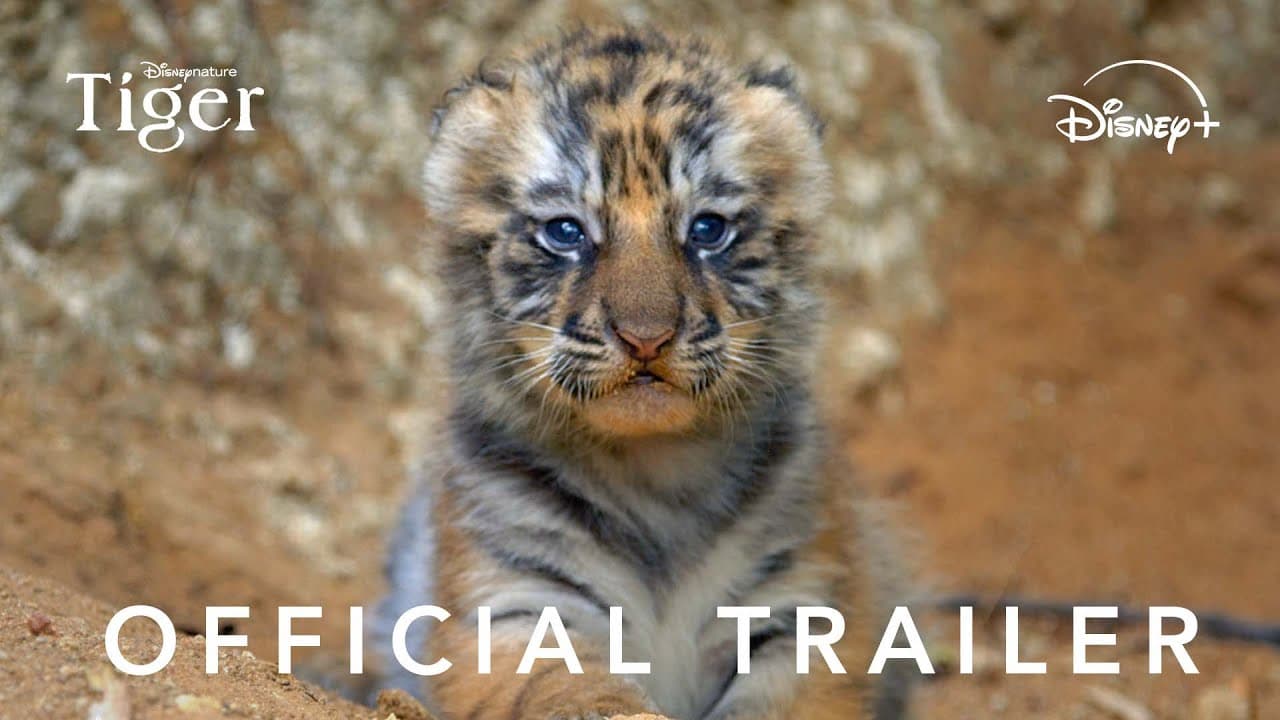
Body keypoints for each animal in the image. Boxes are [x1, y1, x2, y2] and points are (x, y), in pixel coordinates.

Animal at [372, 25, 915, 720]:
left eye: (707, 229)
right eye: (566, 232)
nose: (645, 337)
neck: (654, 473)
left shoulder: (804, 605)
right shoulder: (512, 602)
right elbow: (577, 691)